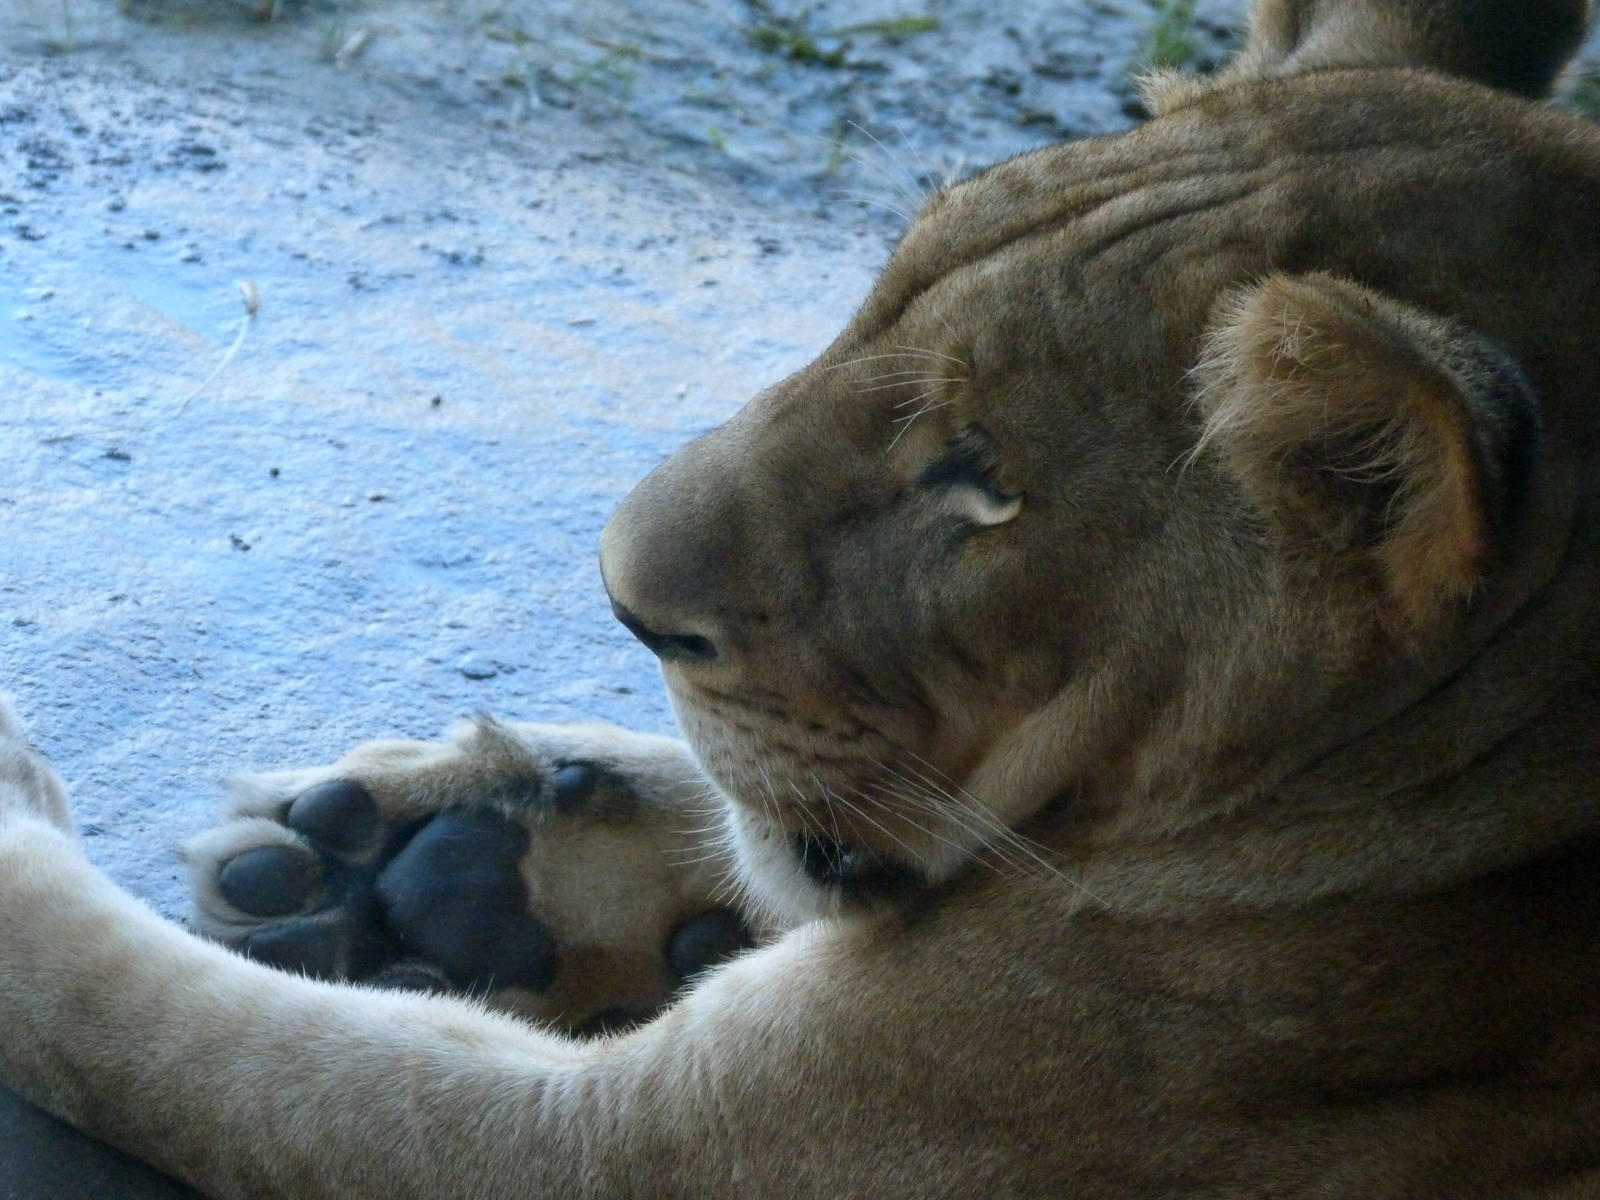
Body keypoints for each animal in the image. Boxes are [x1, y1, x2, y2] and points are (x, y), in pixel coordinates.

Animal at [2, 0, 1599, 1194]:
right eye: (871, 296)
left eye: (979, 481)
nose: (618, 594)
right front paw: (431, 859)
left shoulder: (667, 1147)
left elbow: (184, 1036)